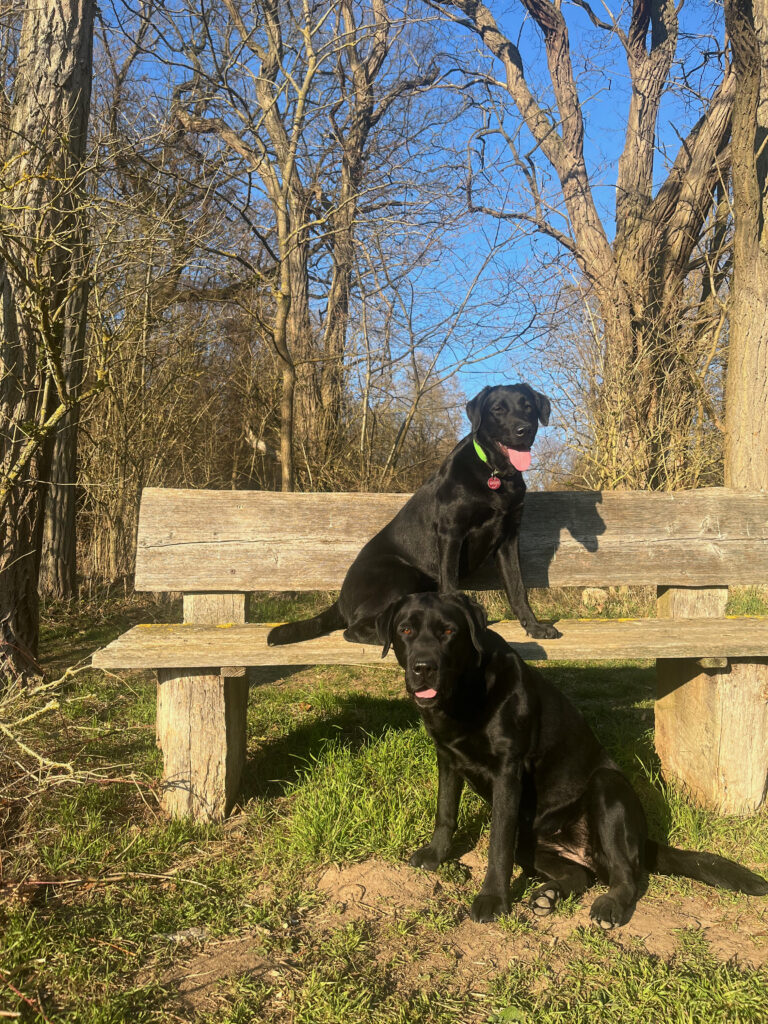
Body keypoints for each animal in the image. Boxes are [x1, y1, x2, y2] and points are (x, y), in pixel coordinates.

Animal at [268, 382, 560, 646]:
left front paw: (534, 627)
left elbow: (517, 588)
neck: (494, 474)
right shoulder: (451, 532)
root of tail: (340, 600)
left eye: (528, 407)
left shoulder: (508, 539)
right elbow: (451, 586)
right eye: (498, 409)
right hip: (402, 573)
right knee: (355, 629)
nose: (523, 429)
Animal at [379, 591, 768, 925]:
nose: (423, 667)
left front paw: (493, 900)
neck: (464, 695)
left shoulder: (507, 771)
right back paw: (548, 894)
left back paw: (608, 906)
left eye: (448, 631)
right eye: (406, 630)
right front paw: (436, 855)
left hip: (607, 788)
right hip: (533, 846)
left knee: (627, 876)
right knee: (580, 874)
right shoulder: (447, 758)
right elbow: (445, 812)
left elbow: (497, 845)